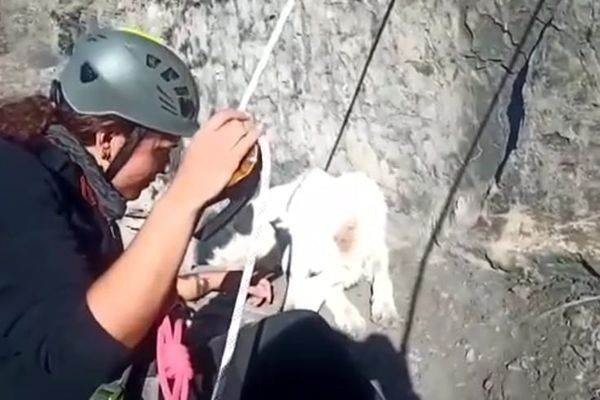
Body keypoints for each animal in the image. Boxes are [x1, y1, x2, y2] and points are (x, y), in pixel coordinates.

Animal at [192, 166, 398, 338]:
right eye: (289, 274)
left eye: (313, 274)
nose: (285, 316)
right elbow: (333, 289)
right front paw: (350, 316)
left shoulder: (377, 245)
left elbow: (383, 275)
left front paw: (385, 308)